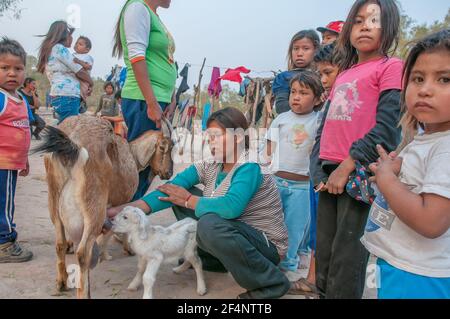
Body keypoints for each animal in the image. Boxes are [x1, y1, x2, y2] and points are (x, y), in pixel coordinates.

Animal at [36, 115, 174, 300]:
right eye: (164, 147)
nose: (169, 173)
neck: (132, 154)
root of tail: (73, 143)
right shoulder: (118, 203)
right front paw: (116, 251)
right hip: (94, 204)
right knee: (83, 253)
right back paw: (84, 291)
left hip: (53, 197)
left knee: (59, 243)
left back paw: (62, 283)